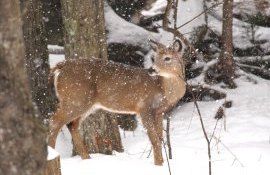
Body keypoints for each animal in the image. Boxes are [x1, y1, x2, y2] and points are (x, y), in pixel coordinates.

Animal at [48, 39, 186, 165]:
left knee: (72, 125)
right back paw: (52, 154)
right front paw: (158, 164)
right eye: (154, 58)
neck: (163, 89)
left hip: (86, 104)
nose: (151, 70)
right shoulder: (143, 107)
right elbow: (155, 140)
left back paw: (87, 158)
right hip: (75, 99)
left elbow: (160, 137)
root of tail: (61, 66)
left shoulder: (159, 112)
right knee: (54, 122)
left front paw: (162, 162)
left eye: (167, 58)